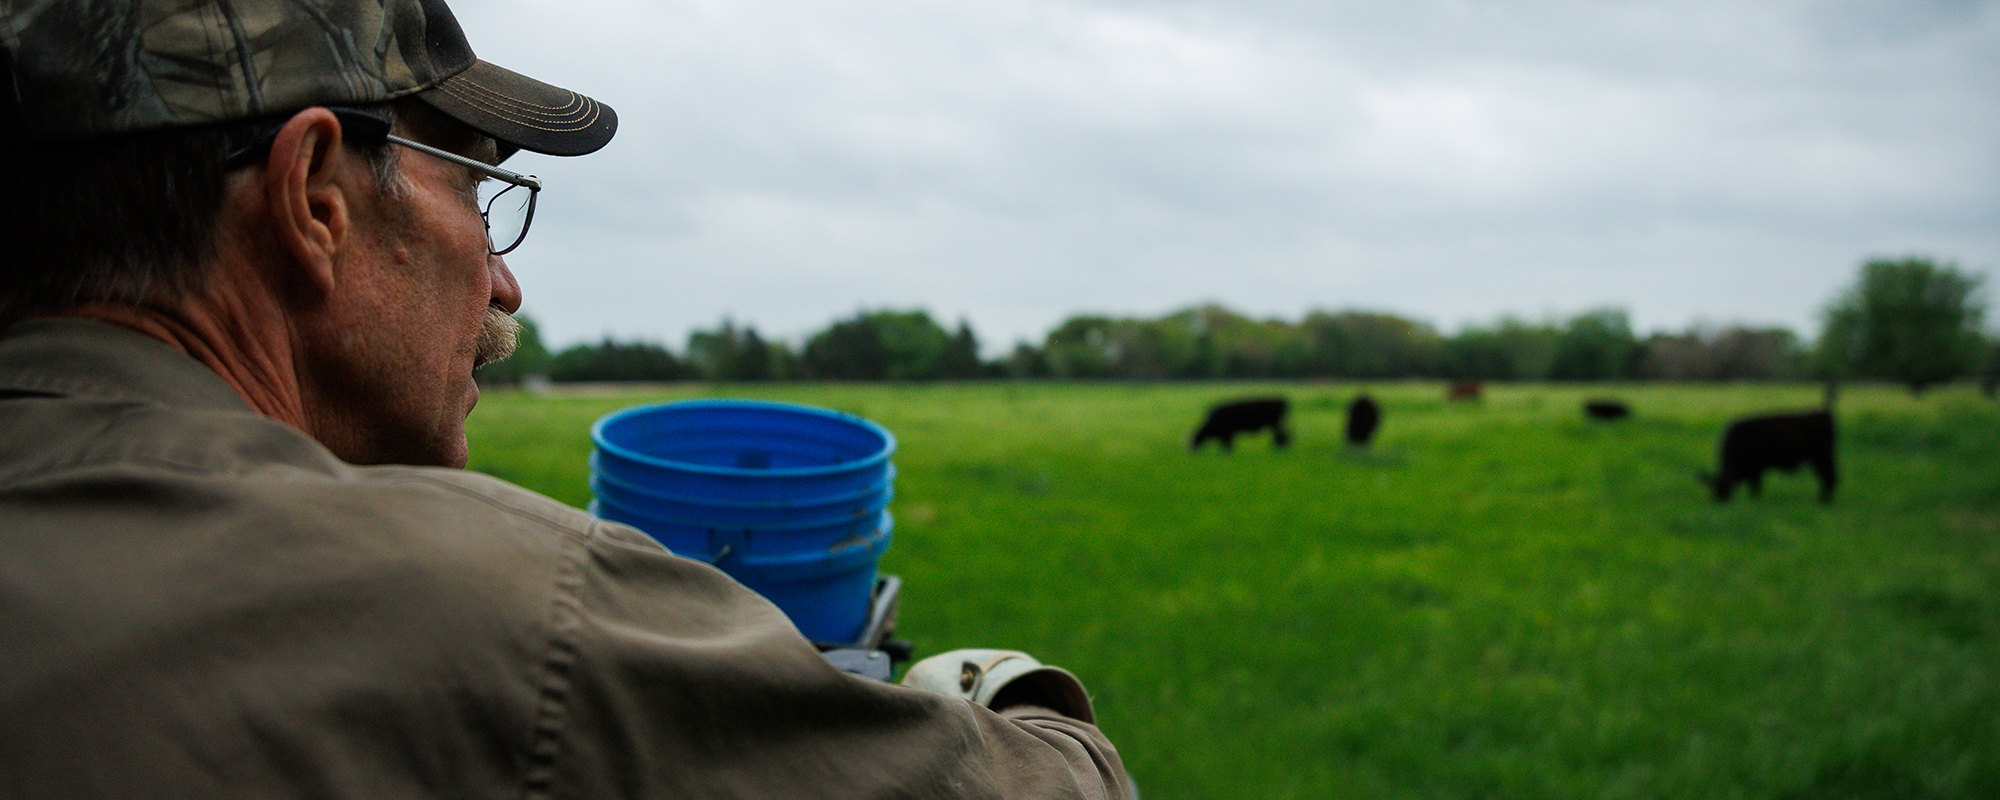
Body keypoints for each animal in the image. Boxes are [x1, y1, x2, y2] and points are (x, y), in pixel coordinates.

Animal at [1696, 410, 1832, 504]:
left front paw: (1754, 500)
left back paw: (1824, 501)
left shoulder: (1756, 468)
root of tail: (1824, 414)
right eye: (1714, 489)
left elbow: (1755, 486)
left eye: (1725, 488)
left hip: (1822, 457)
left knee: (1829, 476)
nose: (1719, 501)